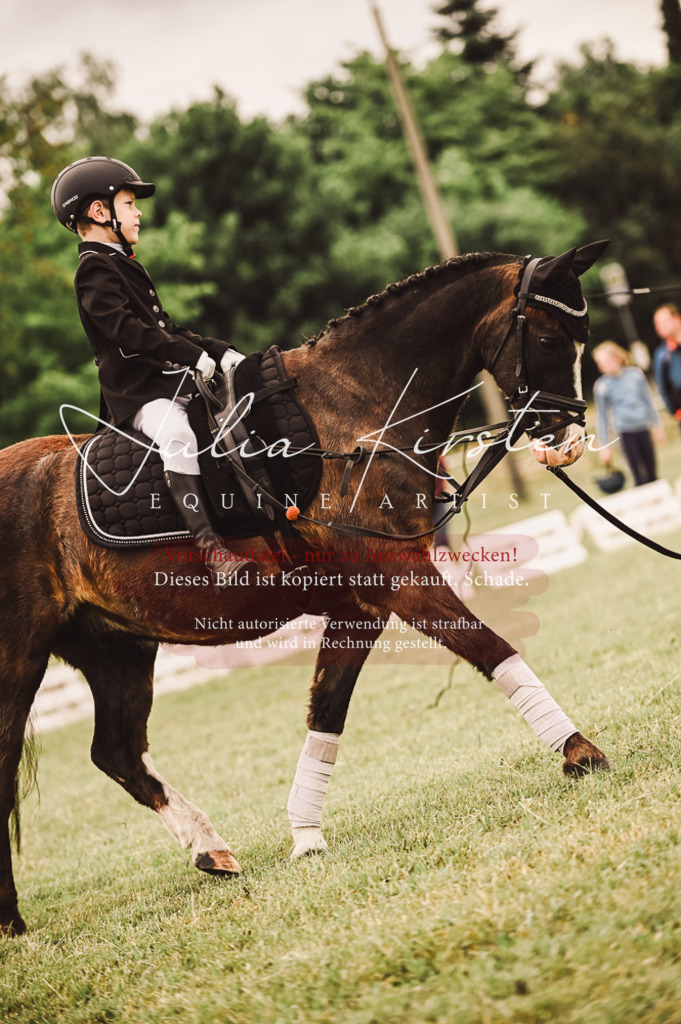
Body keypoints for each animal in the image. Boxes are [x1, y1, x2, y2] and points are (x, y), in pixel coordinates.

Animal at [0, 242, 611, 936]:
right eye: (548, 336)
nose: (568, 443)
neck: (353, 410)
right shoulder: (399, 578)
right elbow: (493, 649)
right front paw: (580, 752)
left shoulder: (360, 601)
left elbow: (327, 711)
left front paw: (305, 835)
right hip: (19, 658)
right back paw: (13, 921)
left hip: (116, 648)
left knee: (117, 752)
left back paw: (210, 850)